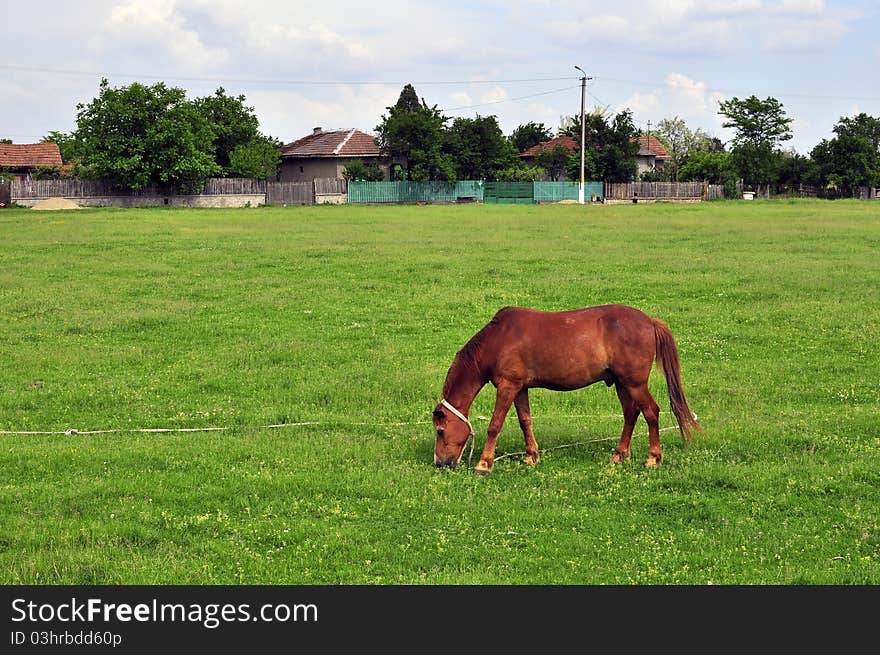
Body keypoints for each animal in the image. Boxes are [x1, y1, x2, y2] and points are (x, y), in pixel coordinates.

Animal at [434, 304, 700, 474]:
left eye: (440, 430)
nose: (439, 463)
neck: (499, 339)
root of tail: (649, 321)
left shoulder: (508, 387)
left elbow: (494, 425)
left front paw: (484, 464)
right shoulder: (520, 388)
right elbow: (525, 421)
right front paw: (531, 456)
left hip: (634, 383)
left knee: (651, 412)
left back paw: (653, 458)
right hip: (622, 384)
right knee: (630, 414)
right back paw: (619, 455)